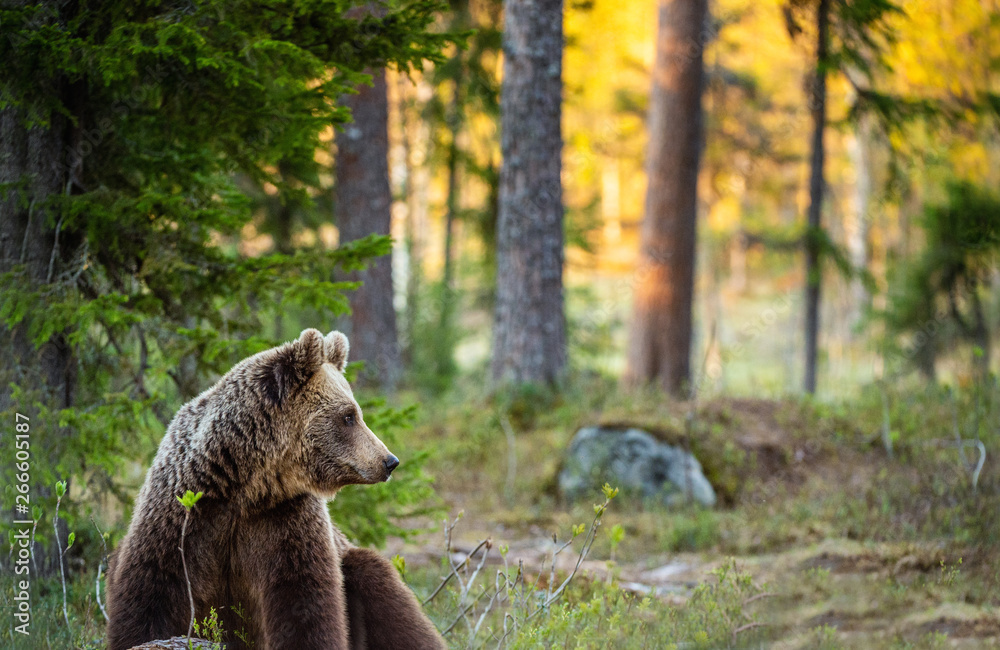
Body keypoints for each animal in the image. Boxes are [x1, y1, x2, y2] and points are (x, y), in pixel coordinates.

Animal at [105, 329, 446, 650]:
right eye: (348, 416)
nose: (389, 461)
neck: (246, 486)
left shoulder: (285, 520)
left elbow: (303, 603)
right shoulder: (184, 516)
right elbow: (150, 598)